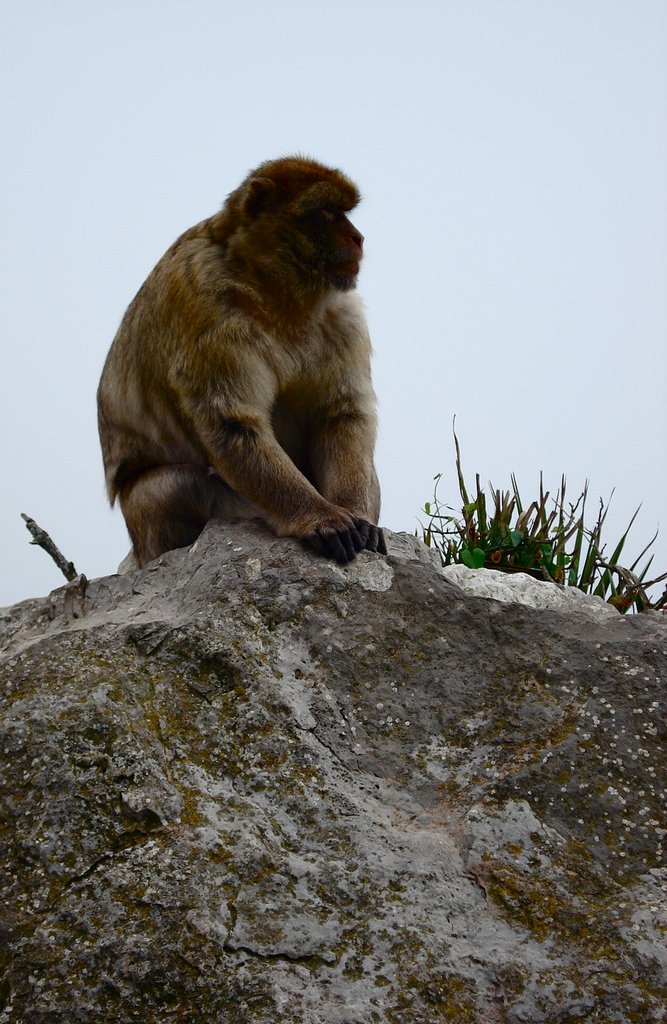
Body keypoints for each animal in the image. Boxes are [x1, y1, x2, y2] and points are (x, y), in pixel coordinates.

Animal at [97, 155, 386, 568]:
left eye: (343, 213)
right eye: (327, 212)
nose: (357, 238)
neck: (275, 292)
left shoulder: (344, 318)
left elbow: (341, 414)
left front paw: (356, 514)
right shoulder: (206, 309)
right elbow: (233, 424)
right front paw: (320, 517)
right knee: (178, 486)